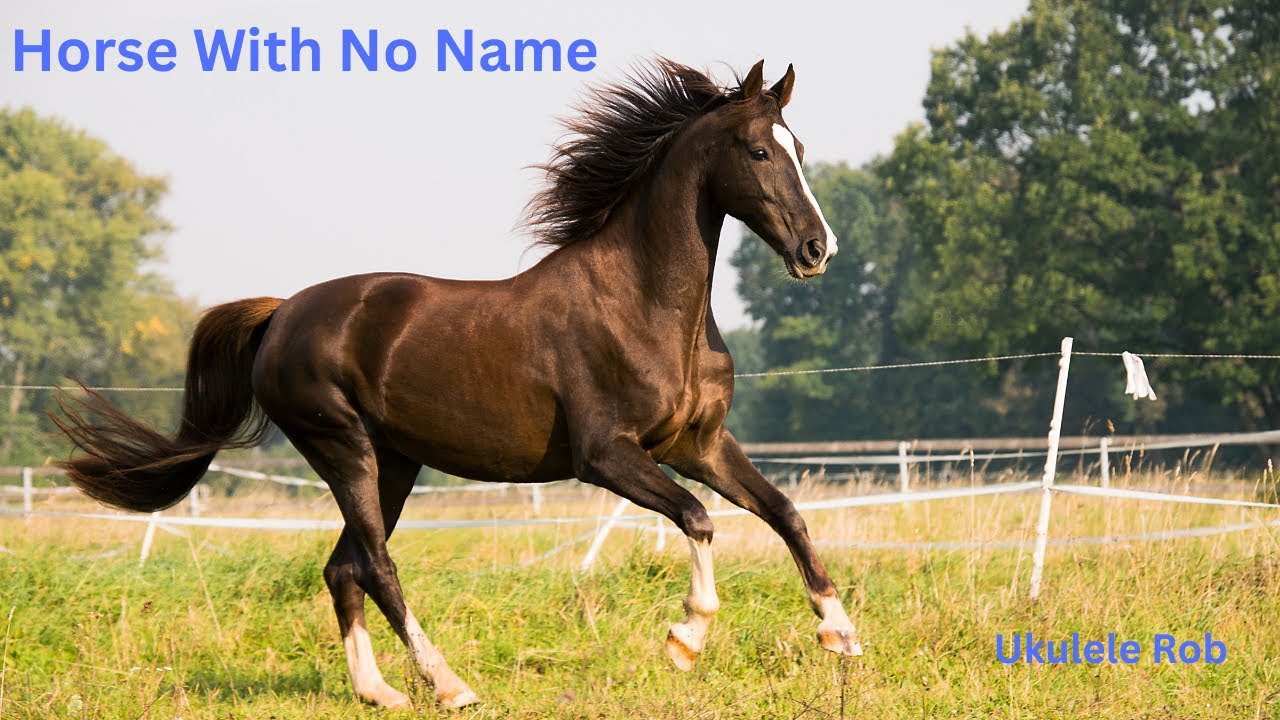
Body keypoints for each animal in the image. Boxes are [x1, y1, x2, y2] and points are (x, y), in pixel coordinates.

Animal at [52, 58, 861, 710]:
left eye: (799, 148)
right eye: (758, 149)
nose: (817, 250)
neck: (644, 306)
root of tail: (281, 314)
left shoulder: (699, 444)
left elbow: (785, 512)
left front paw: (841, 633)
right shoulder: (607, 456)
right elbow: (698, 518)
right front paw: (685, 639)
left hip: (394, 462)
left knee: (342, 568)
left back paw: (378, 692)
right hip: (343, 448)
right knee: (375, 565)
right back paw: (449, 684)